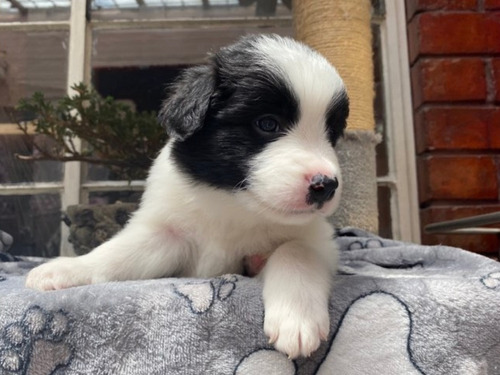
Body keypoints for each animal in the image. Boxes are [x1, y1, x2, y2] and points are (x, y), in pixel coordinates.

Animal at [25, 34, 350, 358]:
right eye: (268, 123)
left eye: (331, 135)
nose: (326, 185)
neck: (234, 204)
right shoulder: (167, 231)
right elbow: (117, 254)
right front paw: (66, 269)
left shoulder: (316, 236)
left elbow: (295, 251)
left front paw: (297, 318)